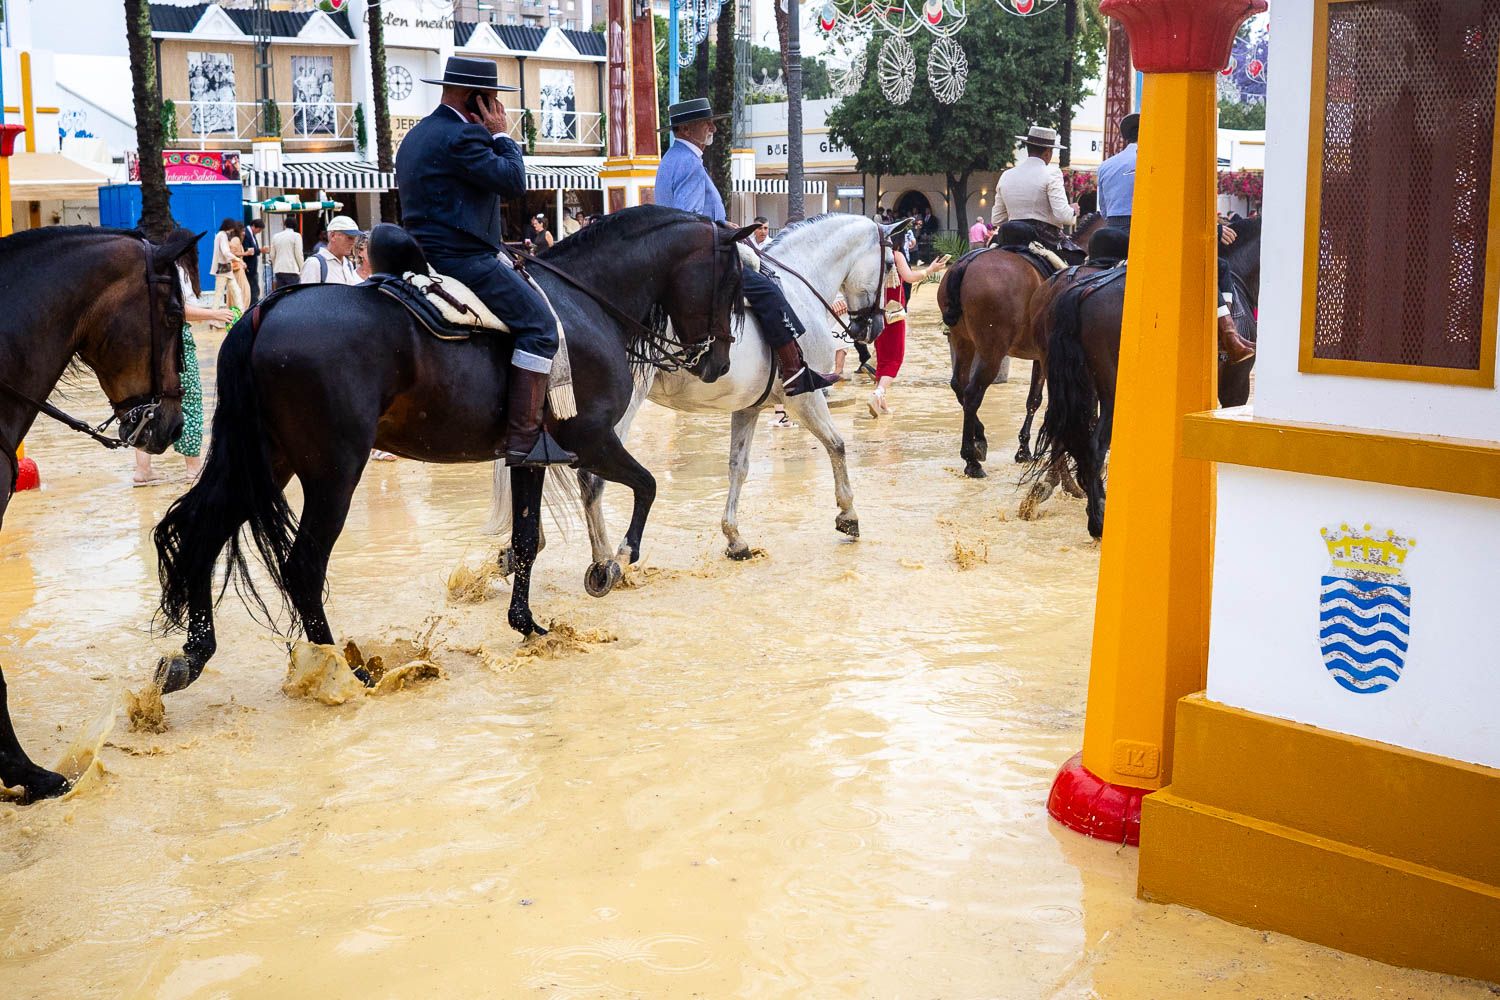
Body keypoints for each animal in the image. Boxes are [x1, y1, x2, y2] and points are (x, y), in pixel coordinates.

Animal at [153, 207, 753, 697]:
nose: (717, 362)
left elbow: (527, 539)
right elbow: (646, 485)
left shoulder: (532, 455)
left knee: (203, 532)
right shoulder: (592, 439)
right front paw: (616, 561)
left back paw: (194, 654)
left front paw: (528, 624)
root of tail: (266, 310)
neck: (584, 303)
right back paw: (345, 667)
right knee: (302, 566)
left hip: (266, 463)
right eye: (733, 284)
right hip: (332, 472)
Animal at [487, 214, 905, 579]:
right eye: (889, 262)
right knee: (591, 478)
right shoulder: (803, 398)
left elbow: (739, 467)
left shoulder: (749, 408)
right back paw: (607, 560)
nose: (872, 327)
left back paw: (521, 549)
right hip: (609, 416)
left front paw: (735, 538)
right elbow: (837, 445)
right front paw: (848, 515)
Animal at [937, 213, 1107, 479]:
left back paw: (979, 440)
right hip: (991, 351)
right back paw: (971, 460)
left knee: (959, 385)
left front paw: (1023, 448)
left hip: (962, 341)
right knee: (973, 393)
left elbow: (1033, 400)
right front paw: (1026, 449)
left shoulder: (1041, 356)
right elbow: (1036, 400)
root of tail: (966, 265)